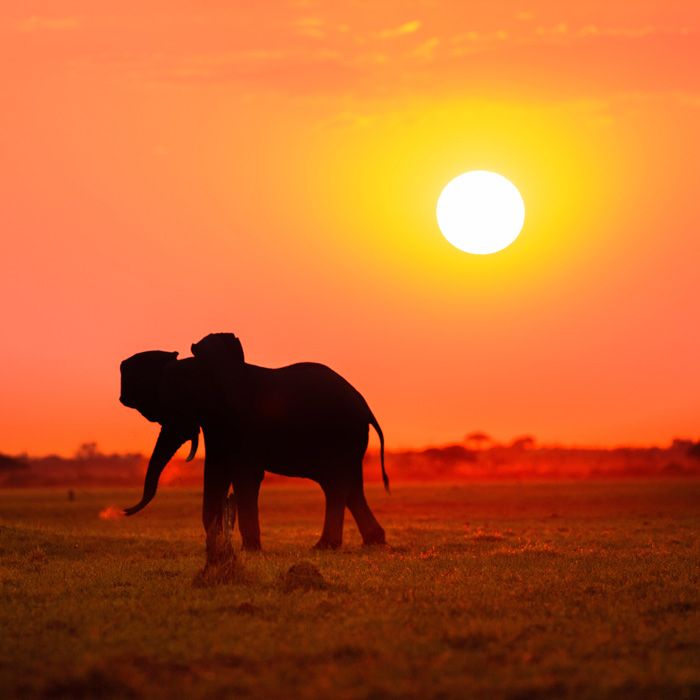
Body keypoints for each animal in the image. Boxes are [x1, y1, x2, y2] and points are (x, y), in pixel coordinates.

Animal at [117, 330, 386, 560]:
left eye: (179, 404)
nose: (123, 511)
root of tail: (365, 405)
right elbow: (216, 472)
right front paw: (223, 548)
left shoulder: (240, 421)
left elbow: (243, 476)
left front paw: (249, 551)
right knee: (348, 485)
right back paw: (371, 542)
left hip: (341, 436)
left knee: (335, 484)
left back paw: (325, 546)